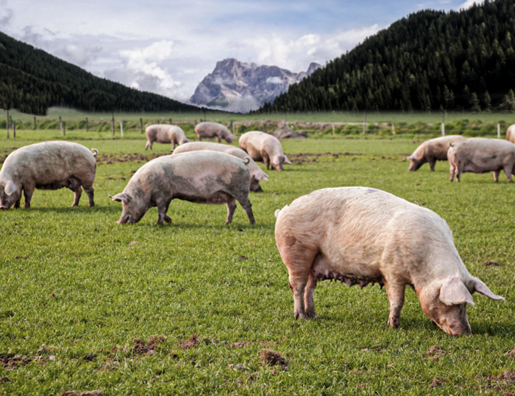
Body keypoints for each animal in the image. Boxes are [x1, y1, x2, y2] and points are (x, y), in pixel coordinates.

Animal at [109, 151, 256, 226]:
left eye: (125, 203)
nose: (119, 222)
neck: (145, 188)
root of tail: (242, 162)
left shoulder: (163, 194)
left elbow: (161, 210)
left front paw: (158, 224)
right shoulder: (168, 195)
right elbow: (163, 210)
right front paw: (169, 221)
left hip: (240, 189)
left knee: (247, 205)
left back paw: (252, 223)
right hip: (228, 194)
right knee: (231, 207)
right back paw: (226, 223)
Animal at [276, 187, 506, 336]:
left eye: (465, 306)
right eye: (457, 305)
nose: (466, 333)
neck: (422, 271)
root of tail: (283, 210)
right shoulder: (391, 271)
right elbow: (397, 300)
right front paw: (394, 326)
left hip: (314, 262)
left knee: (309, 287)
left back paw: (314, 315)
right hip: (296, 252)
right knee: (296, 286)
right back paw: (301, 317)